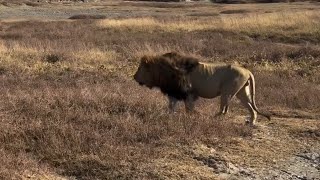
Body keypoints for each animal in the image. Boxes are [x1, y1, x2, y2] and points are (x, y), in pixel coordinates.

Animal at [134, 52, 272, 125]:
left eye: (140, 68)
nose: (134, 77)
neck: (163, 72)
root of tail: (248, 71)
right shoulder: (174, 93)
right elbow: (171, 108)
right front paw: (168, 117)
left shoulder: (188, 93)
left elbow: (189, 109)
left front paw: (191, 118)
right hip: (242, 93)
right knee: (251, 109)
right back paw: (251, 122)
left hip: (227, 92)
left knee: (224, 110)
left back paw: (212, 118)